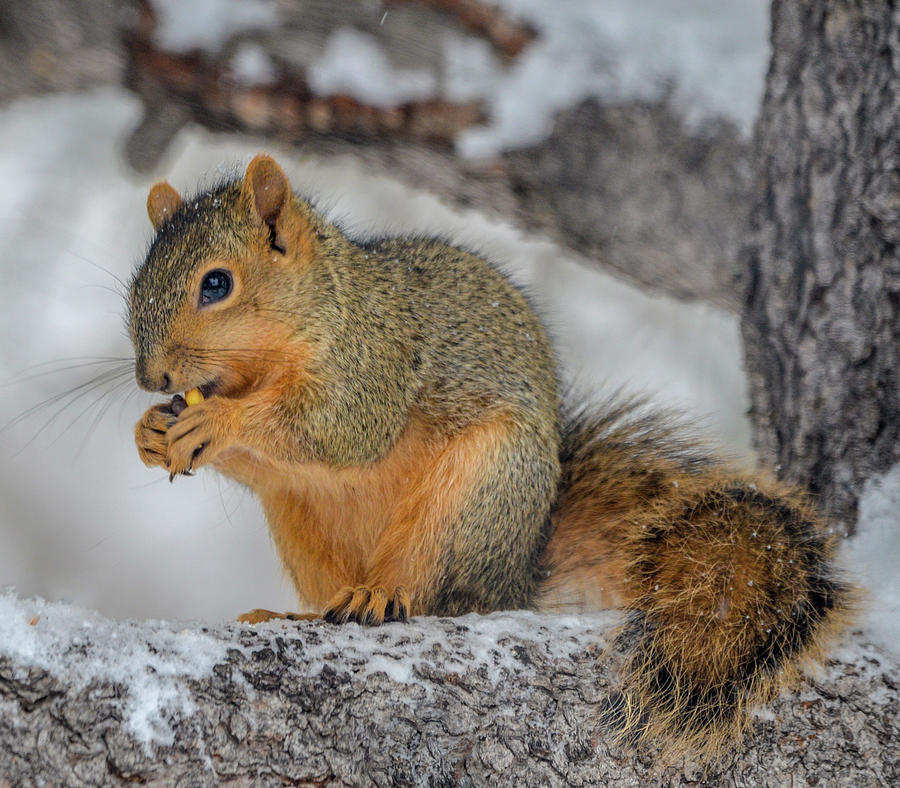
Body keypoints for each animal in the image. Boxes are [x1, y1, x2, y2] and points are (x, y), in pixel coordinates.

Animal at [126, 152, 852, 756]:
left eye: (216, 284)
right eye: (135, 288)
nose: (152, 378)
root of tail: (518, 575)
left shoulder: (374, 363)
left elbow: (337, 429)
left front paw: (216, 421)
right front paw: (149, 432)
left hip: (474, 499)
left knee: (441, 595)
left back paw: (381, 596)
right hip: (300, 522)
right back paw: (300, 612)